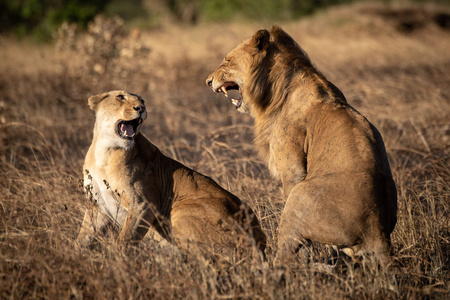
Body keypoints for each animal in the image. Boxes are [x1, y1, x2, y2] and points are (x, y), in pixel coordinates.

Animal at [77, 88, 268, 258]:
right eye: (120, 97)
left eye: (142, 100)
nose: (141, 108)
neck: (105, 150)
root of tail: (259, 243)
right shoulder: (97, 206)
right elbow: (83, 237)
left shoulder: (143, 204)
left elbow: (125, 239)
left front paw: (119, 262)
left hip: (180, 211)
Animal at [206, 25, 396, 264]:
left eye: (228, 60)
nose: (208, 81)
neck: (274, 91)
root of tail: (377, 231)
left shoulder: (293, 169)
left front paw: (306, 256)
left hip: (300, 193)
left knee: (285, 247)